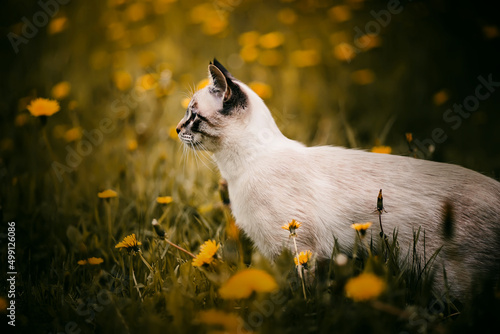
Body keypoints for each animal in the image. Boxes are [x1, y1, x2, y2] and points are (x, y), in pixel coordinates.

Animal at [176, 58, 500, 298]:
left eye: (192, 116)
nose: (177, 129)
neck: (240, 168)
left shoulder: (296, 247)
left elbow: (298, 294)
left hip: (448, 280)